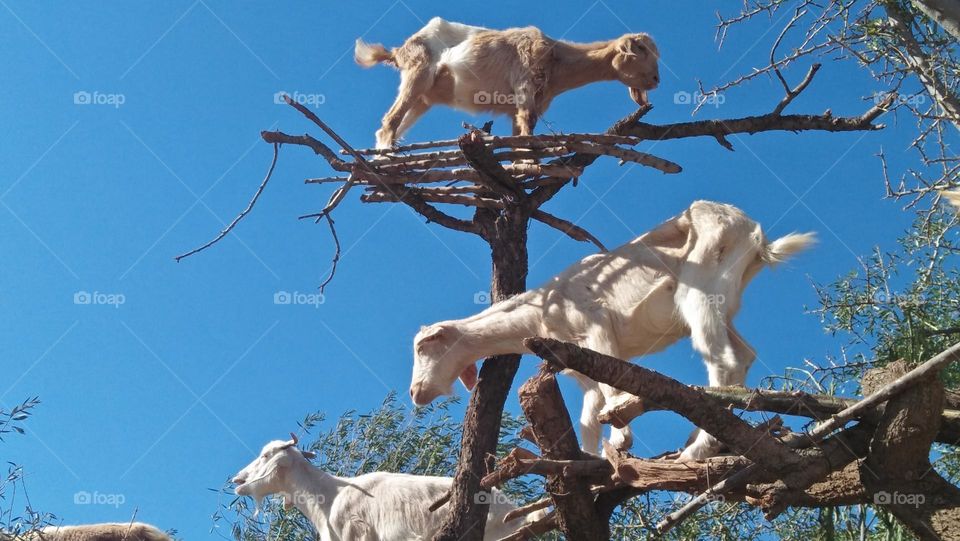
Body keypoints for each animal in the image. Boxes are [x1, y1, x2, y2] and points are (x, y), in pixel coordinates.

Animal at [355, 17, 660, 149]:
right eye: (640, 49)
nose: (656, 79)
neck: (556, 58)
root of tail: (399, 50)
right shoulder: (525, 86)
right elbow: (529, 126)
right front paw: (528, 163)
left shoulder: (520, 106)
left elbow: (519, 134)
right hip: (418, 73)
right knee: (389, 121)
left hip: (424, 97)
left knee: (391, 125)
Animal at [409, 200, 815, 460]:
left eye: (423, 347)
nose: (415, 392)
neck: (542, 307)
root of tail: (758, 236)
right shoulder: (577, 362)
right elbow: (589, 415)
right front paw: (594, 459)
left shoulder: (596, 329)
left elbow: (612, 390)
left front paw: (621, 437)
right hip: (724, 305)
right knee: (743, 356)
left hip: (700, 291)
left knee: (722, 361)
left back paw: (698, 449)